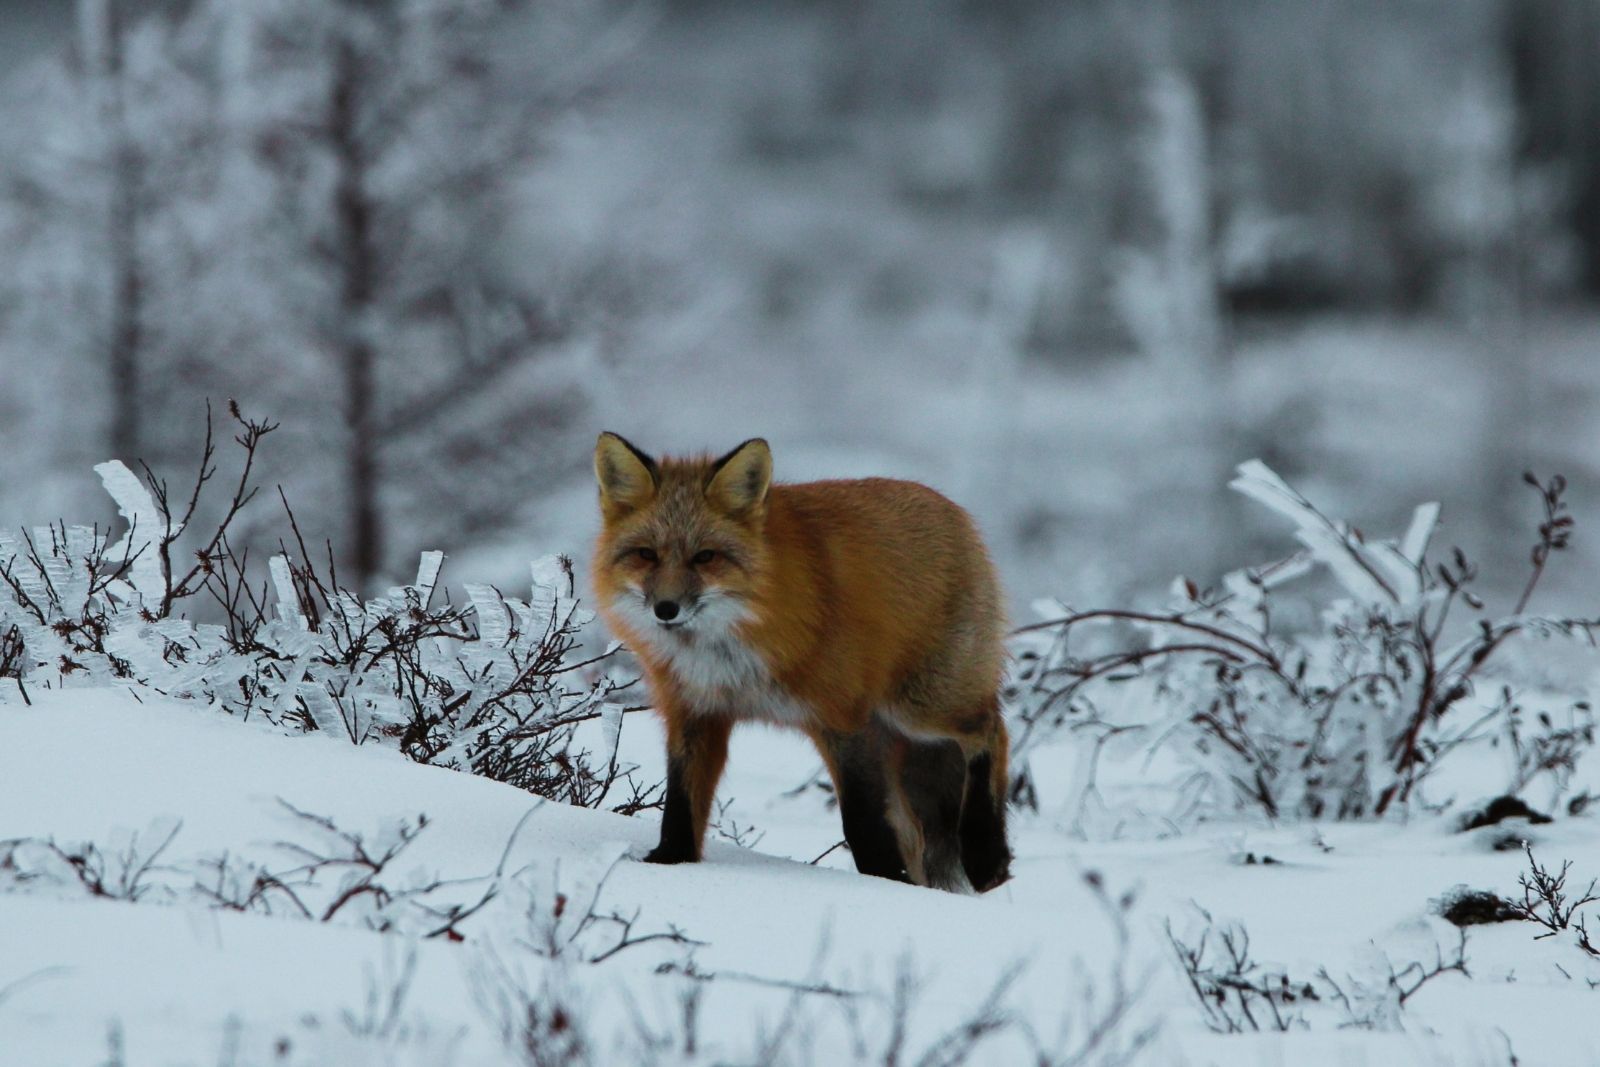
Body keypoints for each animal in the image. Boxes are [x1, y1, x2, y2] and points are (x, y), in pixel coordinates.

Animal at [591, 432, 1011, 893]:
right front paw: (669, 863)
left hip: (918, 708)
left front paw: (885, 885)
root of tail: (954, 511)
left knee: (992, 729)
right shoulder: (695, 712)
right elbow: (681, 804)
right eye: (646, 554)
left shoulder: (844, 720)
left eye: (705, 557)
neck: (726, 654)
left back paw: (986, 854)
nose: (665, 609)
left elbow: (862, 823)